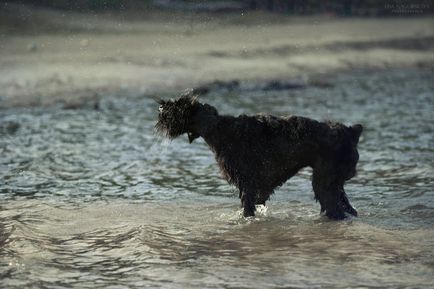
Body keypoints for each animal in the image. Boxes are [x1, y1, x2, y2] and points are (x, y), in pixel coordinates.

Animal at [156, 92, 362, 218]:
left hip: (324, 183)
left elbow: (247, 209)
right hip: (334, 184)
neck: (220, 130)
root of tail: (351, 132)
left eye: (180, 105)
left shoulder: (247, 186)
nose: (161, 107)